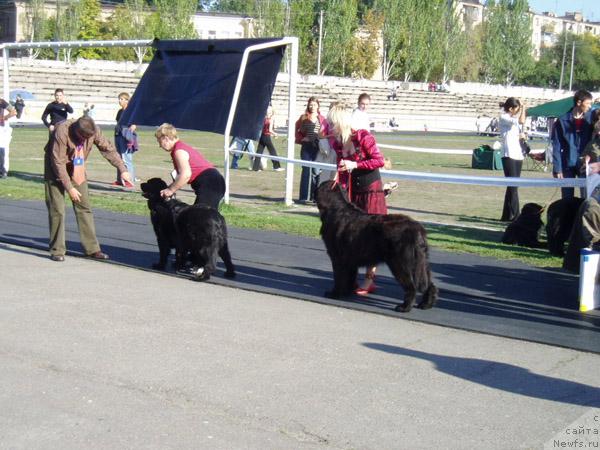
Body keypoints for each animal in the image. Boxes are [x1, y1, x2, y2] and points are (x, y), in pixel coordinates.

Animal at [316, 179, 438, 312]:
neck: (336, 208)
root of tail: (418, 230)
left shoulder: (338, 258)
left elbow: (339, 277)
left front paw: (334, 293)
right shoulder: (350, 259)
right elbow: (350, 277)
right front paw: (347, 292)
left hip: (401, 264)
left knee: (411, 287)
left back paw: (404, 307)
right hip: (421, 263)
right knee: (429, 284)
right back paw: (426, 304)